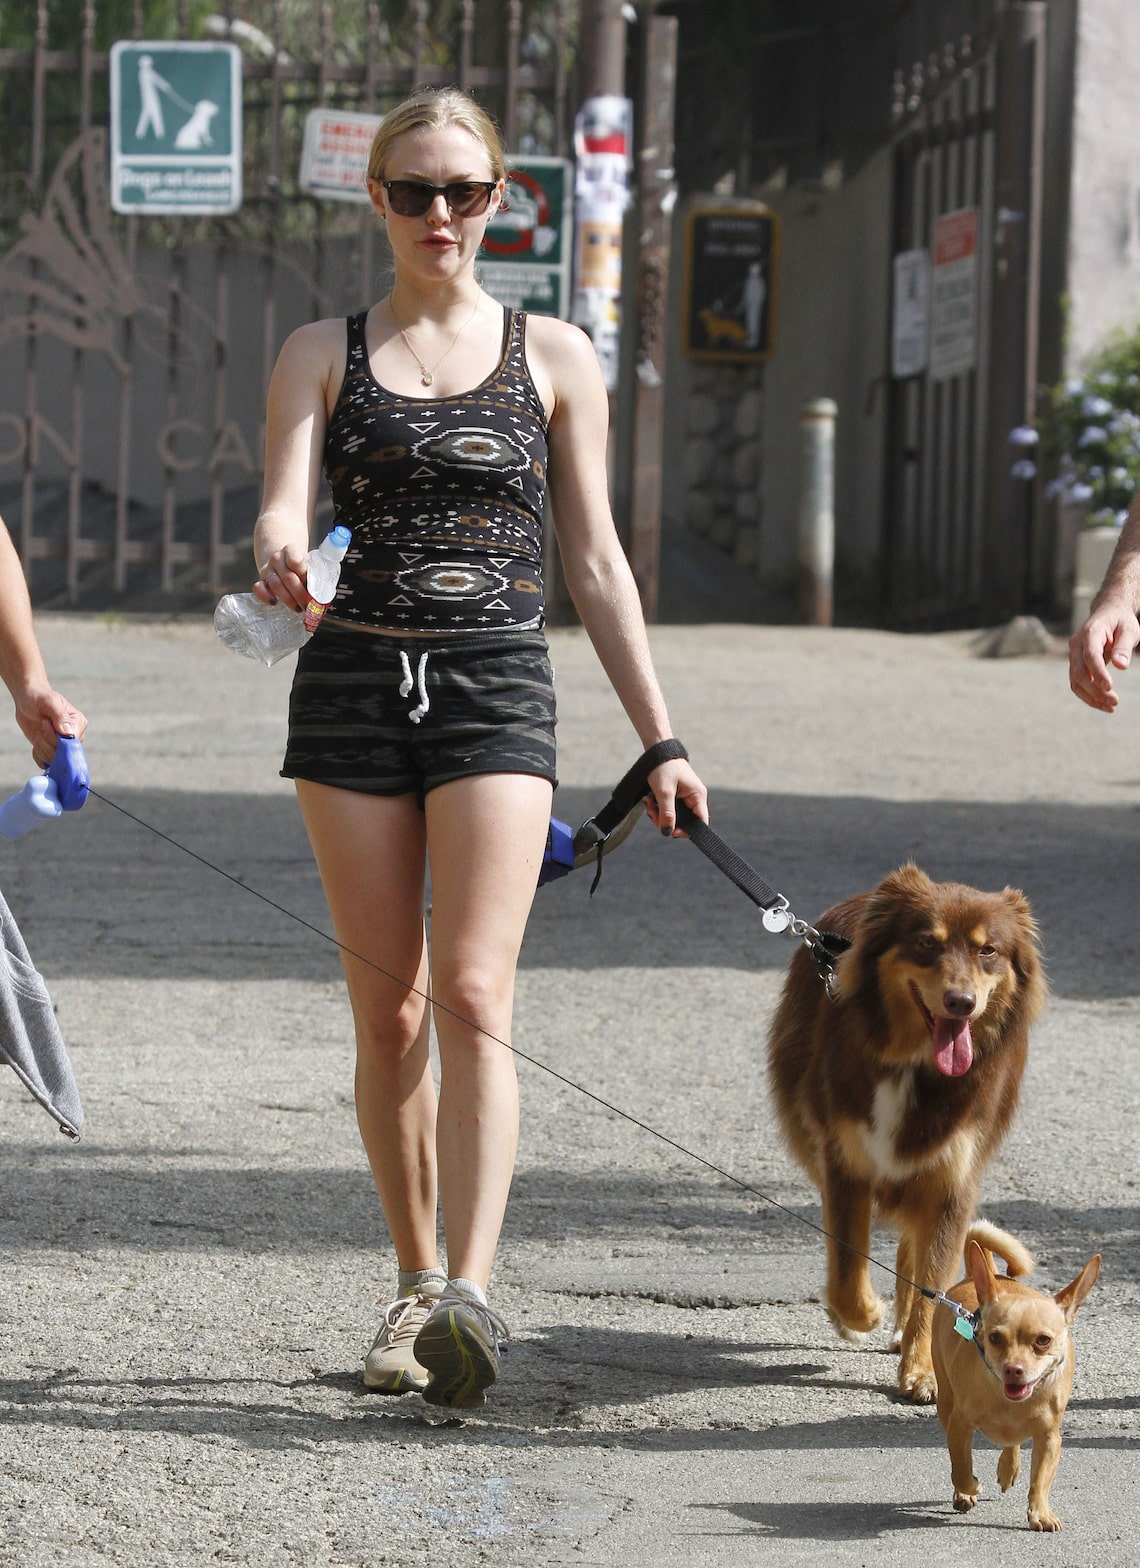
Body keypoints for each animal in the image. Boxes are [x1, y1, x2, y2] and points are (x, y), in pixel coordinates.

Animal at [766, 863, 1046, 1401]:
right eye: (926, 943)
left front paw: (921, 1370)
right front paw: (860, 1314)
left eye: (988, 950)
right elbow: (846, 1265)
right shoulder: (846, 1161)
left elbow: (932, 1286)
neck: (914, 1064)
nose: (961, 1003)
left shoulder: (952, 1178)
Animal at [931, 1222, 1100, 1531]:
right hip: (945, 1402)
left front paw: (1041, 1513)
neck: (1007, 1403)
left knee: (1013, 1442)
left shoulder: (1049, 1439)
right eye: (995, 1338)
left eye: (1043, 1340)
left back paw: (1009, 1467)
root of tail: (977, 1276)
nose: (1014, 1369)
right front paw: (968, 1488)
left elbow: (1040, 1480)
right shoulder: (959, 1426)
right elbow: (960, 1466)